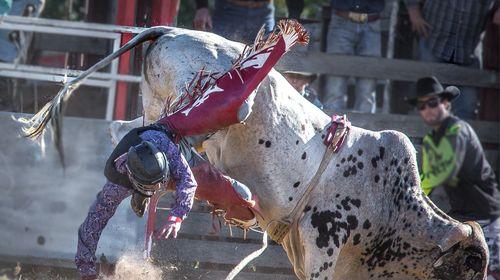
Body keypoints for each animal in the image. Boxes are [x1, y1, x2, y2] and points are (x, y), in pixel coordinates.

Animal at [20, 20, 488, 278]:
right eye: (467, 270)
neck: (389, 203)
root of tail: (171, 29)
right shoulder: (324, 243)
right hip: (201, 100)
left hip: (153, 105)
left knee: (136, 133)